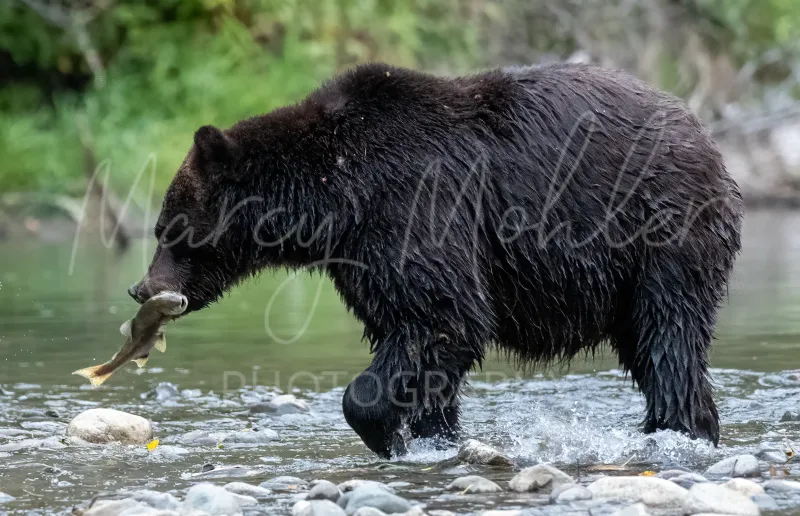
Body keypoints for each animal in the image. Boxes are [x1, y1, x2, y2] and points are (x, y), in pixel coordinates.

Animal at [128, 62, 748, 458]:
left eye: (167, 227)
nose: (142, 288)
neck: (337, 200)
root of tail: (708, 138)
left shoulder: (416, 205)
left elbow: (442, 316)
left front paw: (385, 433)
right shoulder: (361, 258)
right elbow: (419, 340)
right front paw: (432, 436)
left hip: (661, 234)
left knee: (668, 338)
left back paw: (681, 430)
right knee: (651, 346)